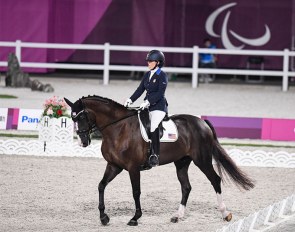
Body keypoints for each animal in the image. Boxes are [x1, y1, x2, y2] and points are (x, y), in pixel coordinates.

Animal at [64, 95, 254, 227]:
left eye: (81, 117)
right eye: (72, 118)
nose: (83, 142)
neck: (118, 128)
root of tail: (202, 122)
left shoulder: (133, 168)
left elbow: (136, 192)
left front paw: (135, 218)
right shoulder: (114, 166)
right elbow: (101, 186)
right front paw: (104, 217)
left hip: (202, 160)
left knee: (215, 180)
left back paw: (225, 213)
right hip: (182, 162)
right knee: (186, 187)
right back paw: (178, 216)